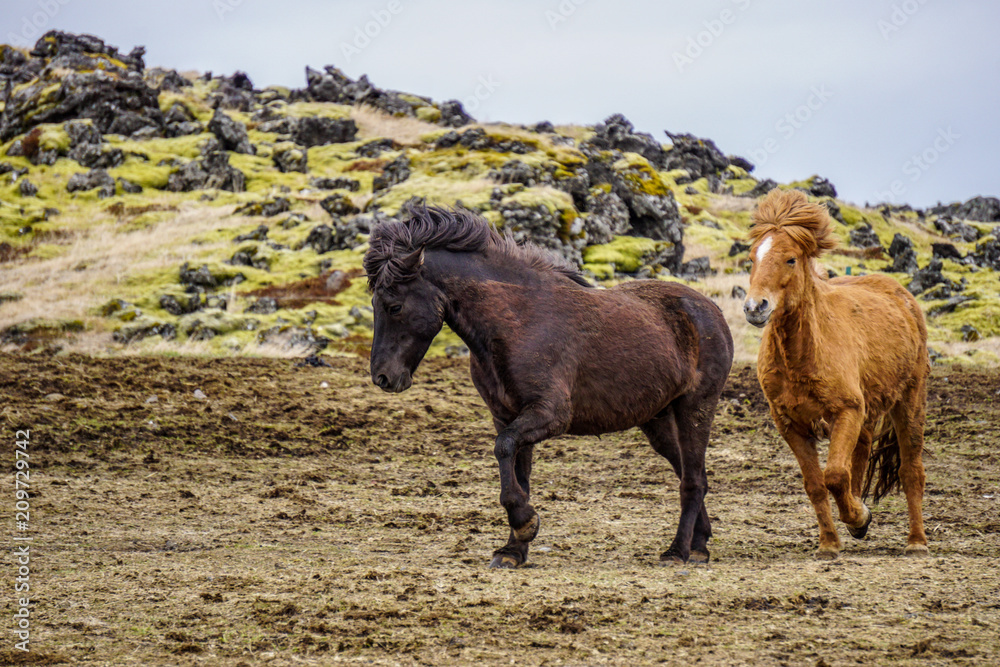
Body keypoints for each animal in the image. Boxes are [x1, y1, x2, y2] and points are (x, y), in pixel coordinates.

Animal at [363, 206, 734, 568]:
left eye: (394, 306)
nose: (383, 377)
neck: (519, 321)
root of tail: (712, 310)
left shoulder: (550, 414)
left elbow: (503, 448)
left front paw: (526, 522)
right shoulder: (507, 415)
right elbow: (516, 470)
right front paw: (513, 549)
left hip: (696, 408)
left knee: (692, 480)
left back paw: (677, 551)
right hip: (657, 420)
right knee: (689, 471)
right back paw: (700, 545)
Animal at [743, 189, 929, 559]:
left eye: (790, 260)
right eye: (752, 258)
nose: (755, 307)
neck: (801, 356)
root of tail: (902, 295)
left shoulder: (846, 411)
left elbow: (835, 476)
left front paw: (858, 517)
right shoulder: (790, 425)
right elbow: (816, 484)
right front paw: (830, 542)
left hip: (908, 402)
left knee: (911, 470)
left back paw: (916, 541)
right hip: (868, 411)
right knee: (862, 452)